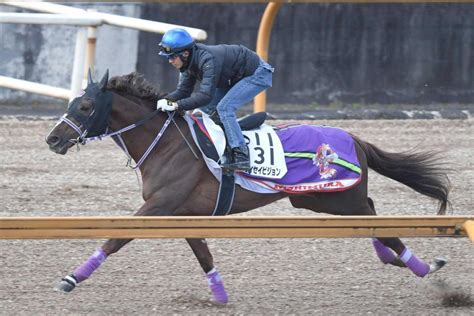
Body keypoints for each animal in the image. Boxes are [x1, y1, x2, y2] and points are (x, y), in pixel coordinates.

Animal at [46, 71, 450, 304]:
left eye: (85, 105)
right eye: (73, 102)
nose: (53, 138)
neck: (166, 143)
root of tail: (354, 138)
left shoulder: (160, 205)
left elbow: (116, 238)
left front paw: (71, 278)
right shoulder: (182, 211)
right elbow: (202, 252)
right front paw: (220, 294)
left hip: (330, 198)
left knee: (378, 219)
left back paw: (424, 267)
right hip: (322, 201)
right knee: (371, 214)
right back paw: (393, 258)